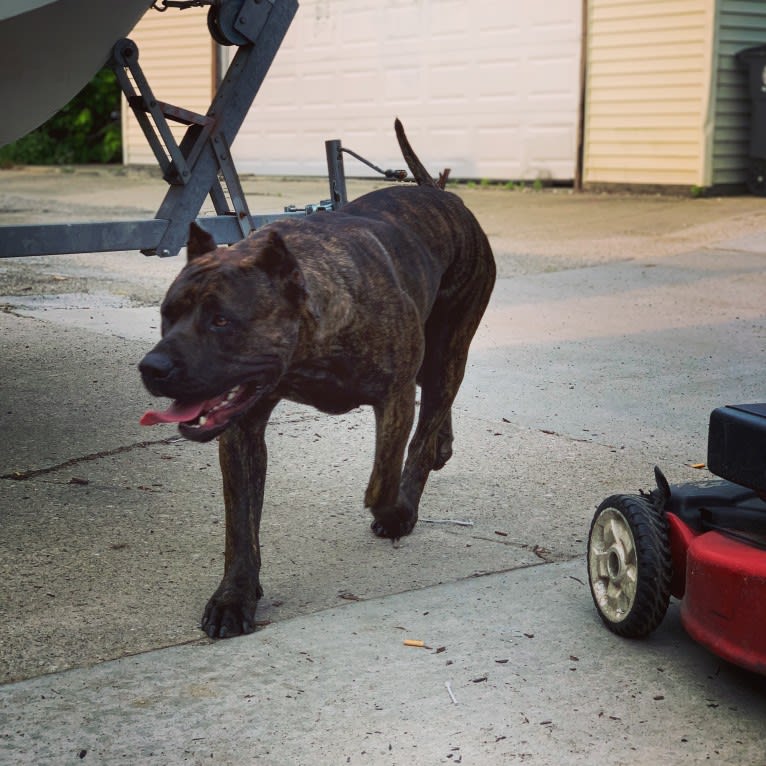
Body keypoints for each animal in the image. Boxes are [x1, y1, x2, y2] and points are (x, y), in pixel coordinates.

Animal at [140, 120, 498, 640]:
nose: (153, 367)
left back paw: (414, 490)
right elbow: (240, 526)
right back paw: (442, 447)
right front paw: (235, 595)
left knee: (430, 414)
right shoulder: (242, 432)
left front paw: (395, 509)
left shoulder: (393, 399)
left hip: (447, 347)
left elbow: (383, 479)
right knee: (436, 411)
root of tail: (441, 194)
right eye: (167, 315)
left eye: (222, 321)